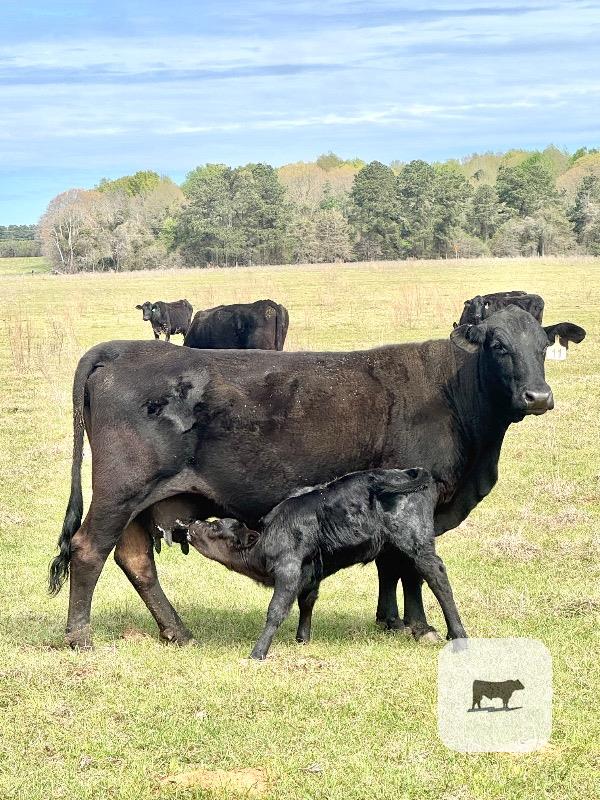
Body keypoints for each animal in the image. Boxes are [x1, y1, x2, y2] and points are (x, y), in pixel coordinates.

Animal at [179, 467, 467, 660]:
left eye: (216, 527)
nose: (191, 524)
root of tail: (410, 471)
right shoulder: (311, 574)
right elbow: (307, 602)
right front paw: (302, 639)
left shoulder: (289, 570)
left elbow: (276, 610)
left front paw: (257, 653)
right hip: (397, 547)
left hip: (415, 541)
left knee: (437, 575)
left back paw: (458, 634)